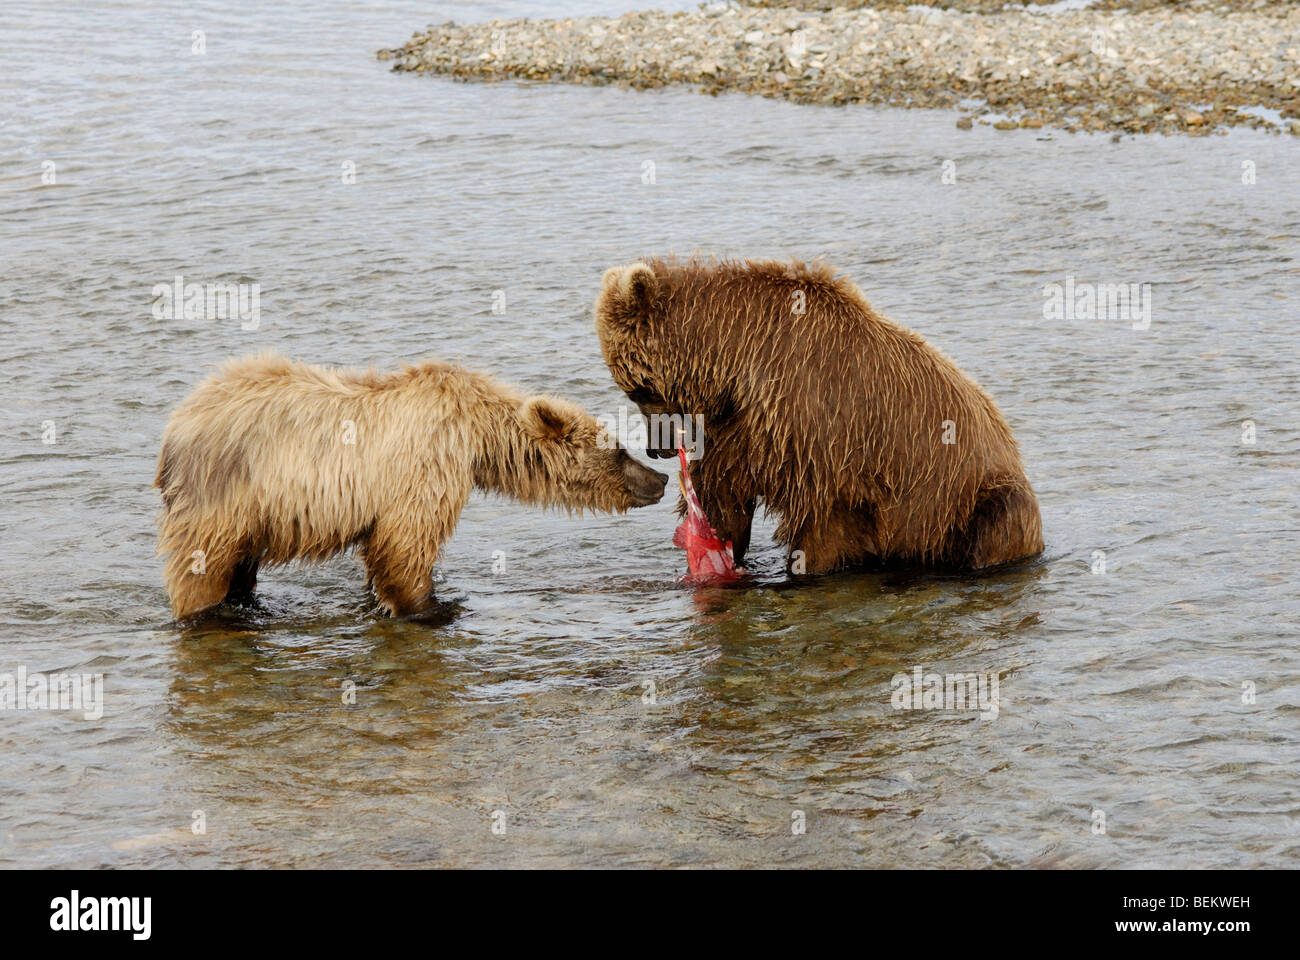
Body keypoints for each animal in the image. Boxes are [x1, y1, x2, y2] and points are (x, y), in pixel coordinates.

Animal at [154, 348, 670, 613]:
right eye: (618, 449)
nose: (661, 478)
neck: (476, 435)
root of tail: (175, 427)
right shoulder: (427, 466)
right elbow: (405, 547)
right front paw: (432, 607)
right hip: (223, 496)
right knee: (201, 571)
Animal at [595, 254, 1040, 572]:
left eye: (639, 388)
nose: (658, 448)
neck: (735, 364)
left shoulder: (818, 427)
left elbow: (824, 522)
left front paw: (803, 566)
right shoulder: (741, 428)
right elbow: (724, 494)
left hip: (969, 494)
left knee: (996, 522)